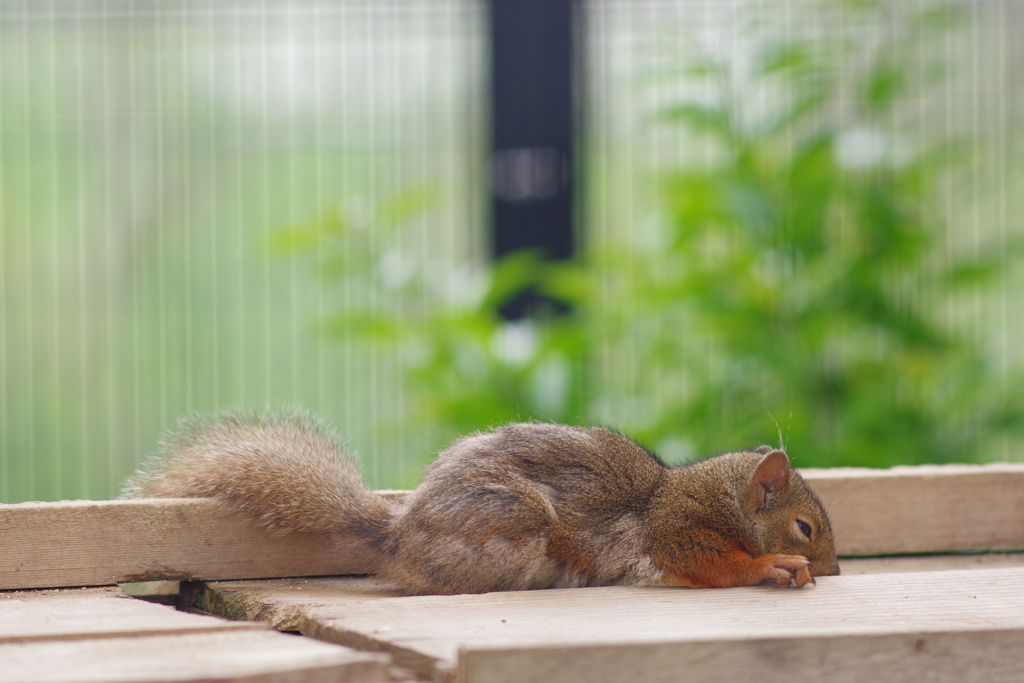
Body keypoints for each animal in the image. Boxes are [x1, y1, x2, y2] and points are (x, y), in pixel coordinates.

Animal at [123, 409, 839, 593]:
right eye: (805, 527)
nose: (835, 569)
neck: (719, 497)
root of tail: (401, 534)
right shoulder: (678, 529)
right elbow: (709, 563)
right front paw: (774, 566)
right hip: (512, 524)